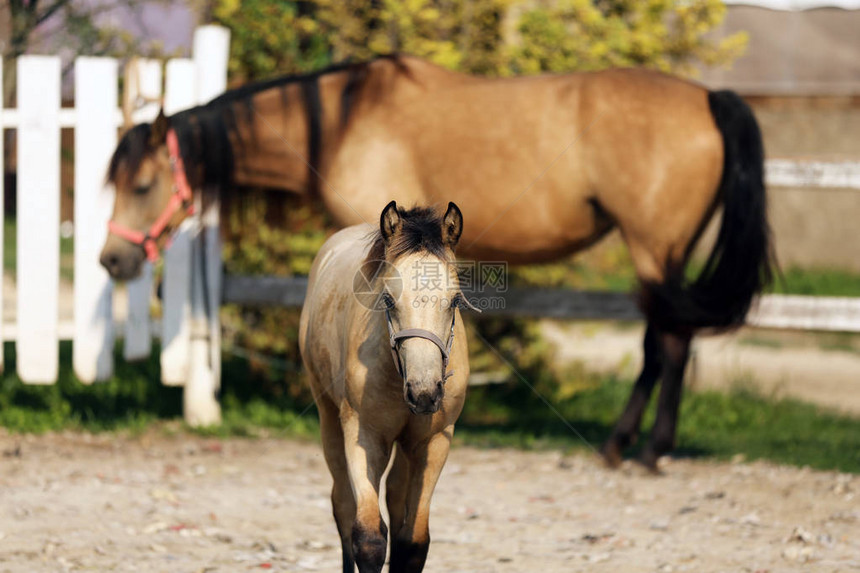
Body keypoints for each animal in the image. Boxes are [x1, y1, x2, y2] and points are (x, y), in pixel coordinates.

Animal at [99, 53, 772, 466]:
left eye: (142, 185)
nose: (112, 260)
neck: (343, 120)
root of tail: (709, 97)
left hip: (655, 249)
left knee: (668, 341)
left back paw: (636, 448)